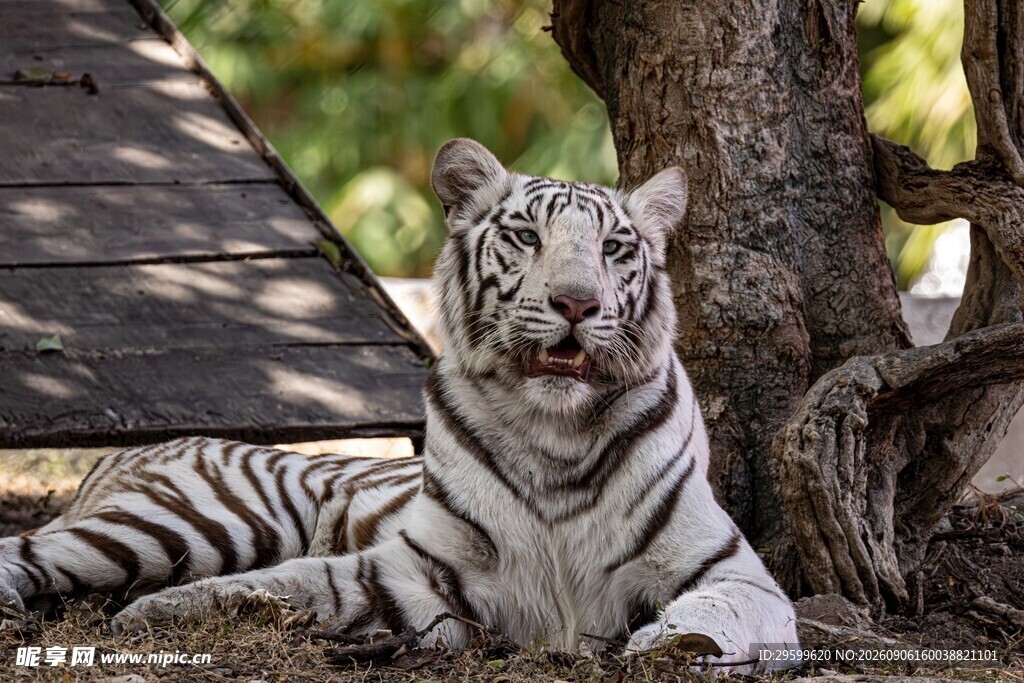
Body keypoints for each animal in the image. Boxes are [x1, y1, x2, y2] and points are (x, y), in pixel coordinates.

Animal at [0, 138, 798, 672]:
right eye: (526, 235)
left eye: (614, 248)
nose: (577, 302)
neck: (555, 434)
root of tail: (132, 447)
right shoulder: (420, 572)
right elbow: (298, 580)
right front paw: (157, 614)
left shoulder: (733, 571)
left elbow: (712, 610)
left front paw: (670, 643)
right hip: (197, 522)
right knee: (29, 548)